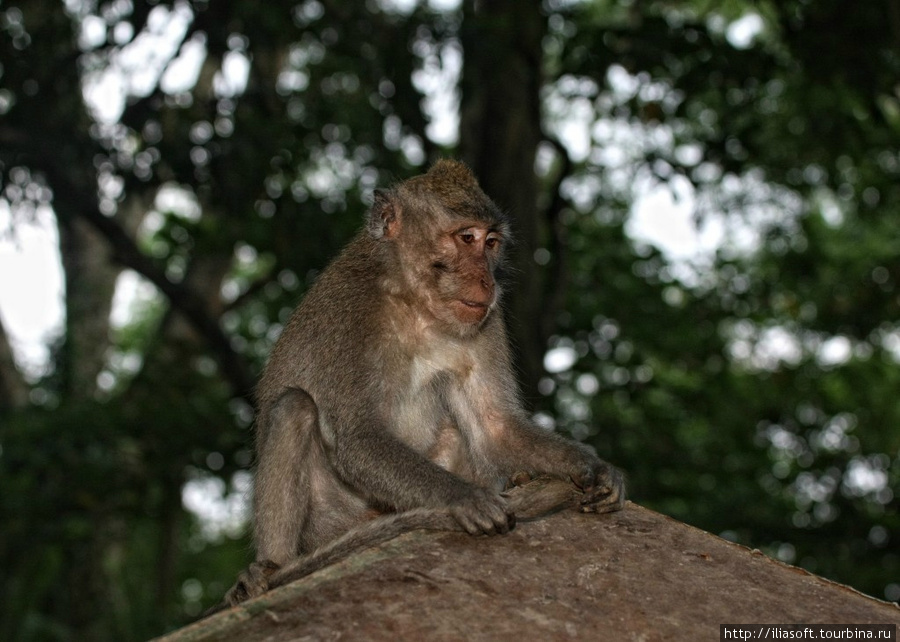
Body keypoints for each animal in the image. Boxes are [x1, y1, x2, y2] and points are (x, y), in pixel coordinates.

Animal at [221, 159, 624, 604]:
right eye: (466, 238)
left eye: (491, 243)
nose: (488, 280)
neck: (415, 303)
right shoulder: (352, 314)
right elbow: (357, 436)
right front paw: (462, 497)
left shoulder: (487, 321)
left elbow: (495, 428)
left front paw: (593, 468)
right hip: (330, 521)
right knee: (294, 408)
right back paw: (268, 569)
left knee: (456, 431)